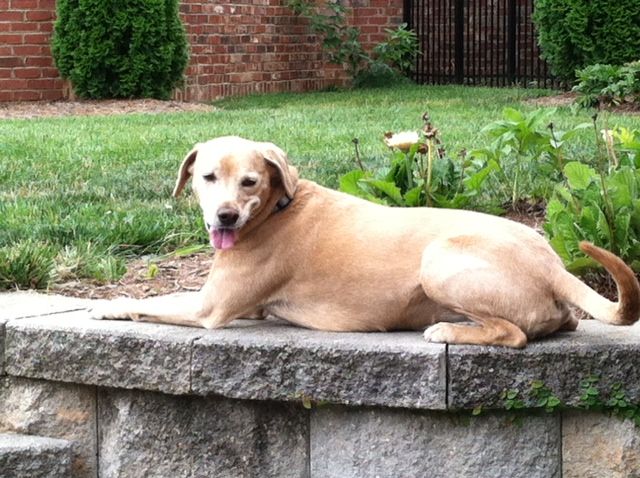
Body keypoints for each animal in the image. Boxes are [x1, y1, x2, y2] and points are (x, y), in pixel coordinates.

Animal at [91, 134, 640, 348]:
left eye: (249, 182)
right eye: (207, 177)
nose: (225, 217)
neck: (277, 207)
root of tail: (554, 265)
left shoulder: (210, 308)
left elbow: (153, 301)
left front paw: (107, 307)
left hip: (440, 260)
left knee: (514, 334)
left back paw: (449, 330)